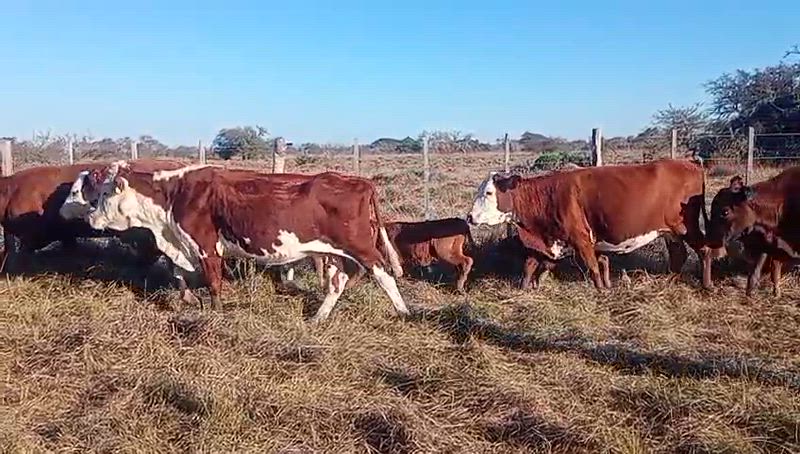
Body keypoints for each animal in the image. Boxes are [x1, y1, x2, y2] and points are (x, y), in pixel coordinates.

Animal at [82, 164, 408, 322]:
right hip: (335, 252)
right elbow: (178, 273)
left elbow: (213, 282)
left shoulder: (206, 245)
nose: (90, 217)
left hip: (361, 248)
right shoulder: (185, 245)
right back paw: (319, 317)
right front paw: (189, 299)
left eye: (105, 193)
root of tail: (359, 181)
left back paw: (404, 313)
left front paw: (215, 312)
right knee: (338, 281)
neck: (174, 194)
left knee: (384, 274)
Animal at [466, 158, 708, 290]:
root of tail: (691, 163)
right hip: (669, 231)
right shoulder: (551, 240)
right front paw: (526, 289)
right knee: (678, 255)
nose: (469, 217)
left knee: (704, 250)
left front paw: (601, 291)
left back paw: (706, 284)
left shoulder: (581, 239)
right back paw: (670, 280)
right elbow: (531, 266)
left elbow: (593, 267)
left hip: (686, 227)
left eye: (488, 192)